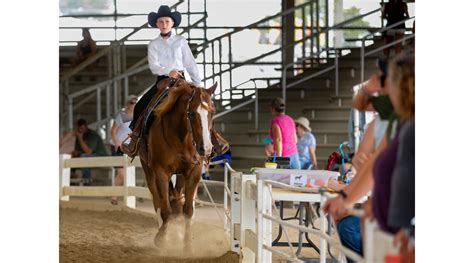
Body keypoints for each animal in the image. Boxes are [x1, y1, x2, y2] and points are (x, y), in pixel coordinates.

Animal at [138, 78, 218, 233]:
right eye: (191, 114)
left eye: (212, 112)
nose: (206, 148)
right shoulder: (161, 173)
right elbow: (165, 212)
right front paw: (162, 237)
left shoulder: (194, 172)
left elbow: (188, 211)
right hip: (148, 171)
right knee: (157, 202)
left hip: (181, 175)